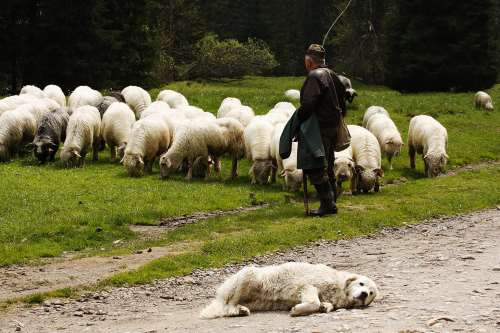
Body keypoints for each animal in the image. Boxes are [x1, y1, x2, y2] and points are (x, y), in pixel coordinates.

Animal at [200, 260, 378, 318]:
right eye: (361, 284)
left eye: (370, 293)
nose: (363, 294)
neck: (339, 286)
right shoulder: (308, 286)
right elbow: (313, 301)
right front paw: (297, 310)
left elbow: (326, 305)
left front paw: (325, 306)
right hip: (249, 274)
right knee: (227, 304)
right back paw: (236, 309)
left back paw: (241, 310)